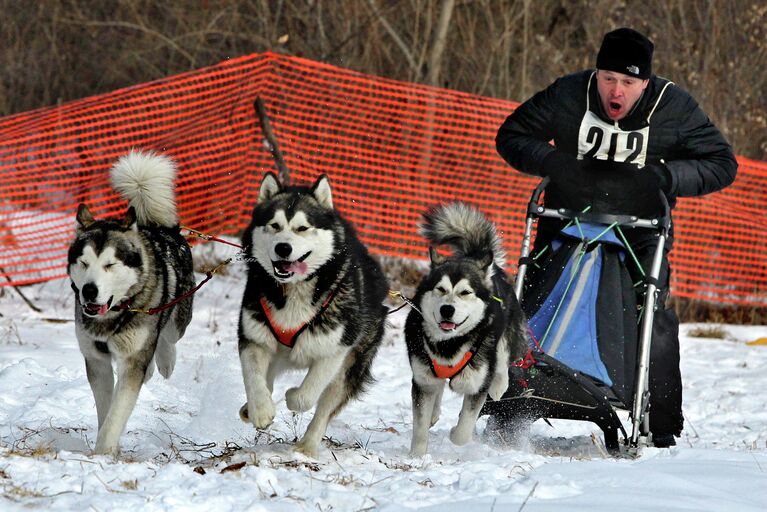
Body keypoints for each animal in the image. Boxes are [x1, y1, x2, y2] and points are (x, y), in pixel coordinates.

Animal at [67, 150, 194, 454]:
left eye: (110, 264)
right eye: (84, 262)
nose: (89, 291)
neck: (112, 316)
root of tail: (162, 228)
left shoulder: (133, 359)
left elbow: (117, 410)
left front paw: (103, 452)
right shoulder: (96, 360)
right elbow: (107, 407)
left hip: (177, 320)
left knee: (167, 337)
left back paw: (165, 360)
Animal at [237, 174, 388, 458]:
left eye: (302, 228)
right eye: (274, 225)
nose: (283, 248)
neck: (294, 290)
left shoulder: (334, 351)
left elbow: (306, 396)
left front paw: (292, 396)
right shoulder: (254, 338)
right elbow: (253, 377)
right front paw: (260, 410)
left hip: (349, 366)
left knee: (325, 407)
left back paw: (307, 447)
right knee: (267, 376)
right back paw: (250, 407)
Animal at [408, 202, 528, 454]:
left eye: (465, 292)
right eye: (440, 289)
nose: (447, 309)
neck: (450, 345)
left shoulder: (476, 384)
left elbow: (463, 432)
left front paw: (455, 432)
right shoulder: (422, 380)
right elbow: (420, 426)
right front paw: (416, 456)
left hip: (505, 336)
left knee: (502, 362)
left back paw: (499, 386)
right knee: (437, 389)